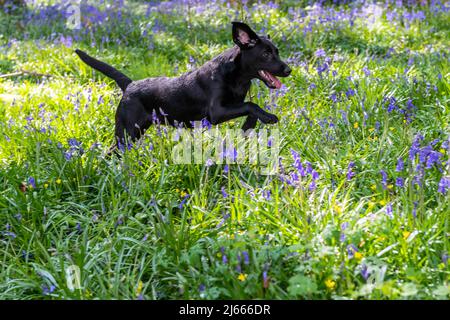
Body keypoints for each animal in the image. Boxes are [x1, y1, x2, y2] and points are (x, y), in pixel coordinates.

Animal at [75, 22, 290, 152]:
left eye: (277, 51)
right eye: (266, 54)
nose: (288, 70)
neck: (237, 76)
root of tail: (130, 84)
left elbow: (250, 109)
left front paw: (249, 126)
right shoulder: (216, 112)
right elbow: (251, 105)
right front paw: (269, 117)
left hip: (136, 131)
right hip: (127, 133)